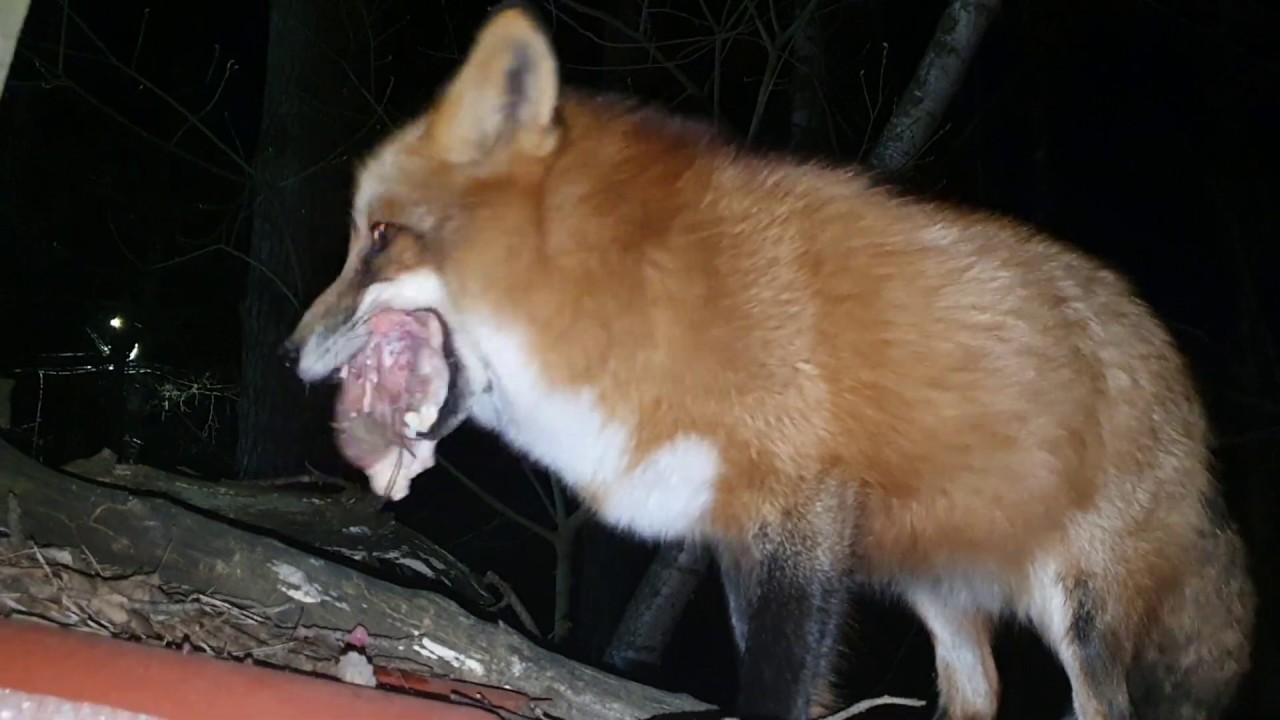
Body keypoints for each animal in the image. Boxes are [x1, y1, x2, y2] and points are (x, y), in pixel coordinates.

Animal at [282, 4, 1256, 720]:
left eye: (378, 238)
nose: (289, 354)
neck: (636, 295)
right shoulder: (739, 532)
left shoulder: (799, 509)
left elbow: (780, 682)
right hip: (933, 588)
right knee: (978, 693)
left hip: (1080, 612)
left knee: (1098, 706)